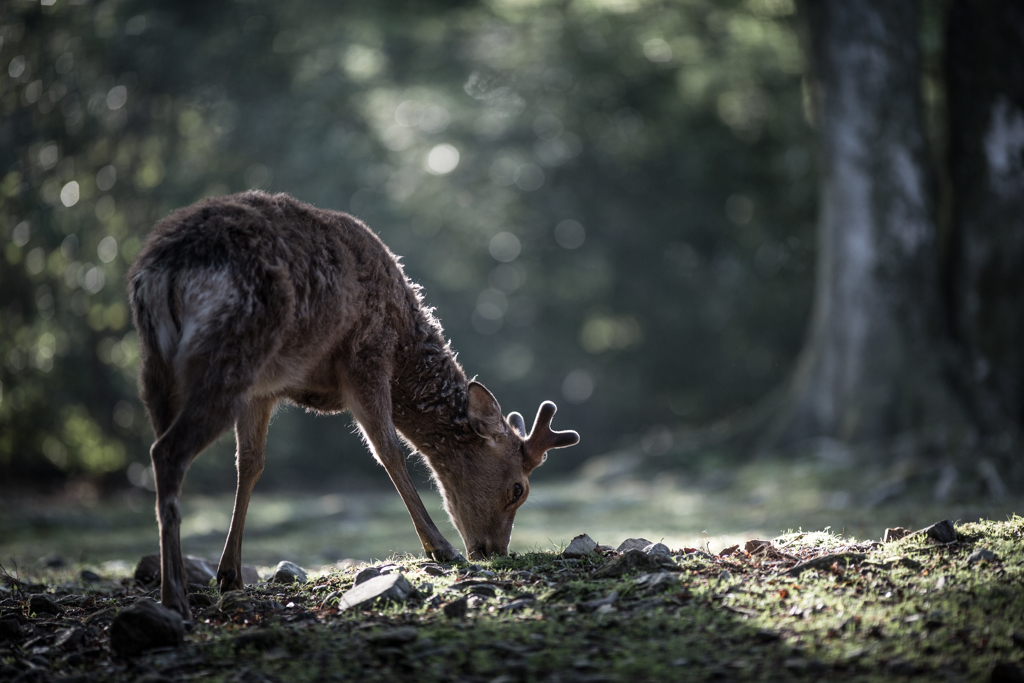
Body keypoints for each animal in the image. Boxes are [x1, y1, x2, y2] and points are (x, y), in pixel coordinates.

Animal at [129, 188, 581, 618]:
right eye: (518, 489)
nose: (493, 551)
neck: (404, 344)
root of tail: (165, 269)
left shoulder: (264, 390)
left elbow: (251, 464)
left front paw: (230, 575)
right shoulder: (367, 355)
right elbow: (389, 451)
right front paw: (440, 548)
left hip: (156, 365)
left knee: (162, 448)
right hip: (233, 346)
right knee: (167, 451)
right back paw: (173, 597)